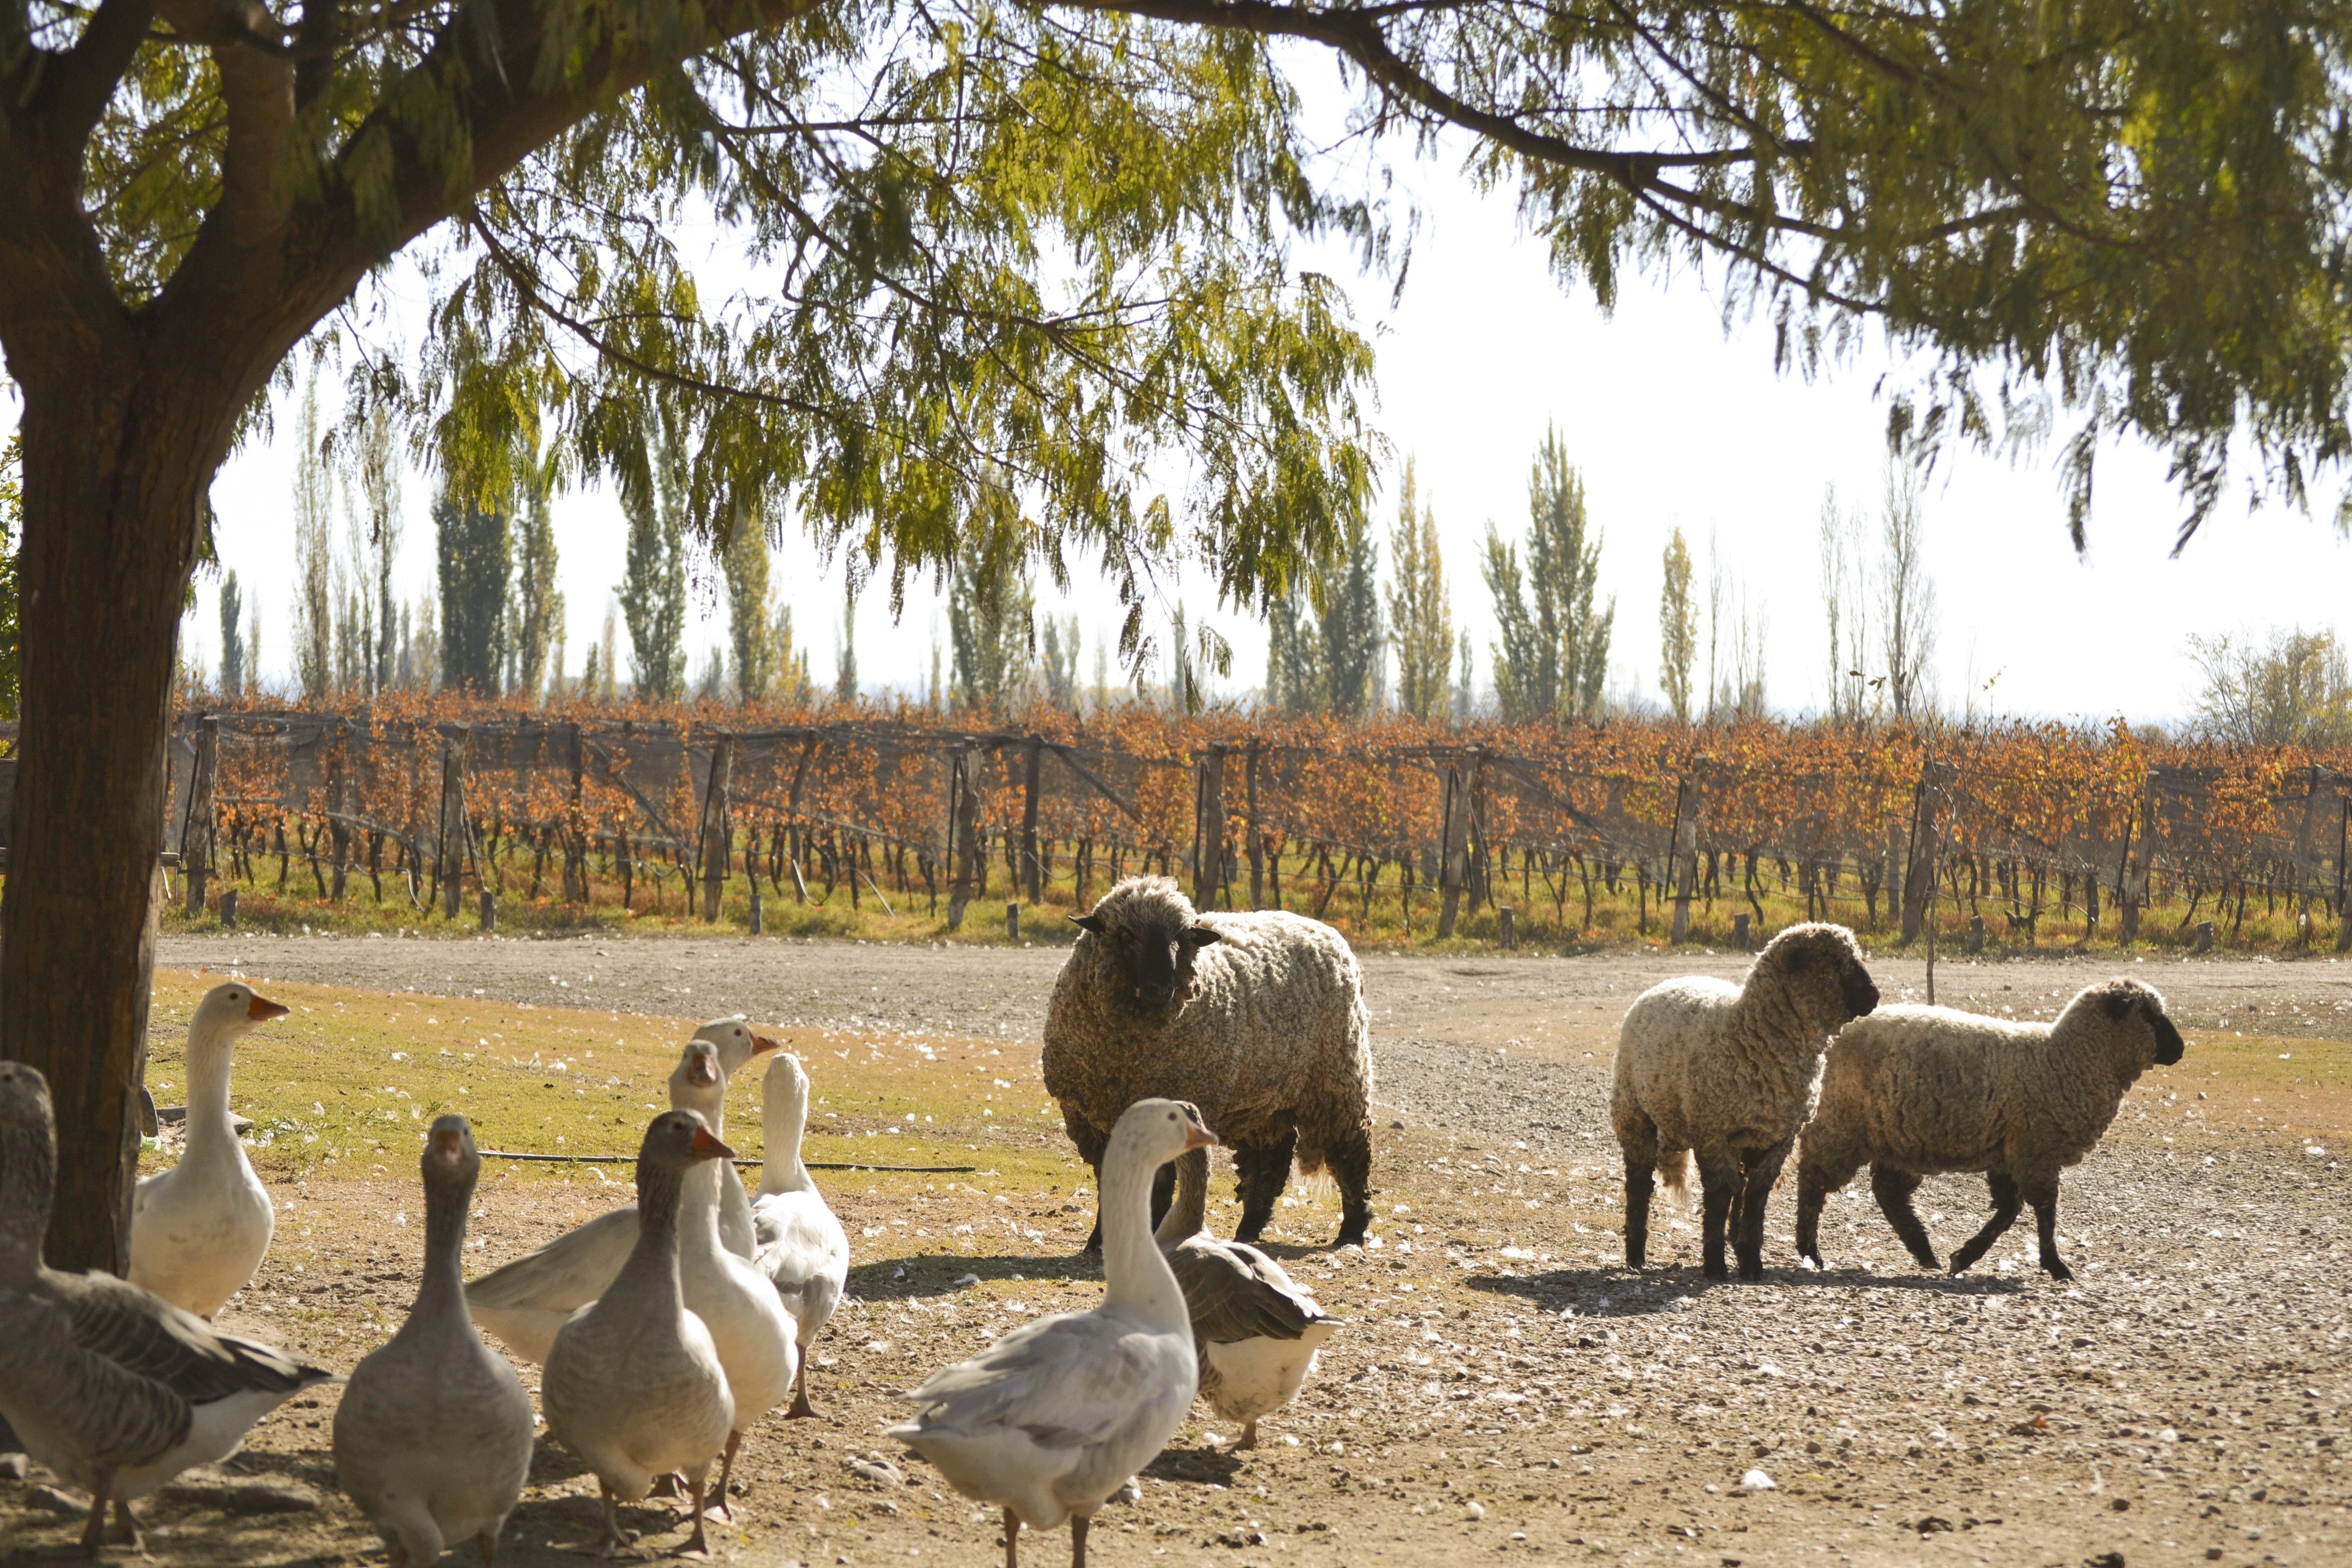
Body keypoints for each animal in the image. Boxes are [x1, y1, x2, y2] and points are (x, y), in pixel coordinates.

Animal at [1039, 870, 1374, 1251]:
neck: (1130, 1058)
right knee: (1270, 1161)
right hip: (1264, 1096)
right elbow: (1109, 1180)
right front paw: (1099, 1241)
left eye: (1182, 938)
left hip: (1337, 1078)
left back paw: (1352, 1231)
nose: (1161, 987)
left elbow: (1160, 1183)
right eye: (1125, 935)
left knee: (1351, 1153)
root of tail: (1322, 927)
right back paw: (1249, 1229)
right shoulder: (1089, 1118)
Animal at [1608, 926, 1881, 1279]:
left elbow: (1756, 1197)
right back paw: (1635, 1256)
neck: (1749, 1033)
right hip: (1635, 1113)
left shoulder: (1779, 1137)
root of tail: (1668, 982)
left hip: (1742, 1136)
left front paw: (1751, 1262)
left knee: (1740, 1187)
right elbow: (1718, 1196)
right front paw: (1715, 1264)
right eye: (1834, 961)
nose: (1874, 998)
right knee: (1639, 1184)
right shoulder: (1712, 1131)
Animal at [1797, 973, 2183, 1279]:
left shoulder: (2010, 1152)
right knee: (1814, 1181)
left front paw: (1965, 1257)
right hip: (1840, 1126)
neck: (2065, 1058)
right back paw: (1810, 1251)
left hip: (1900, 1137)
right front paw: (2056, 1266)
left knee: (1888, 1192)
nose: (2179, 1049)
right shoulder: (2035, 1150)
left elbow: (2009, 1210)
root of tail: (1833, 1034)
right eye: (2149, 1014)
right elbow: (2043, 1211)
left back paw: (1924, 1251)